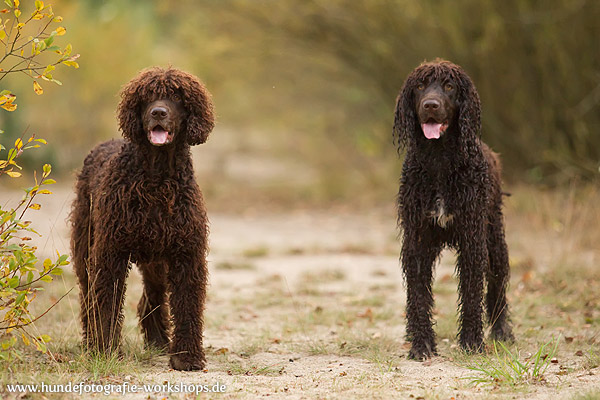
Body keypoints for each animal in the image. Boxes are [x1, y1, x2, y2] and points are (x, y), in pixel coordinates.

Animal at [70, 67, 216, 370]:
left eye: (177, 96)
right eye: (147, 96)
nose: (158, 112)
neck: (156, 179)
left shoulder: (187, 253)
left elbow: (187, 305)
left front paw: (187, 357)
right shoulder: (110, 253)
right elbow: (106, 303)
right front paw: (105, 351)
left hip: (156, 261)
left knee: (152, 298)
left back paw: (159, 341)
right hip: (86, 249)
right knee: (89, 298)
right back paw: (91, 343)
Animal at [394, 58, 516, 360]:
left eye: (449, 86)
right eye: (420, 86)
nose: (430, 105)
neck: (439, 161)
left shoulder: (472, 239)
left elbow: (472, 292)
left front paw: (472, 342)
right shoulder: (417, 240)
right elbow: (418, 294)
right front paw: (421, 344)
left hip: (495, 242)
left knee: (497, 288)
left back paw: (501, 332)